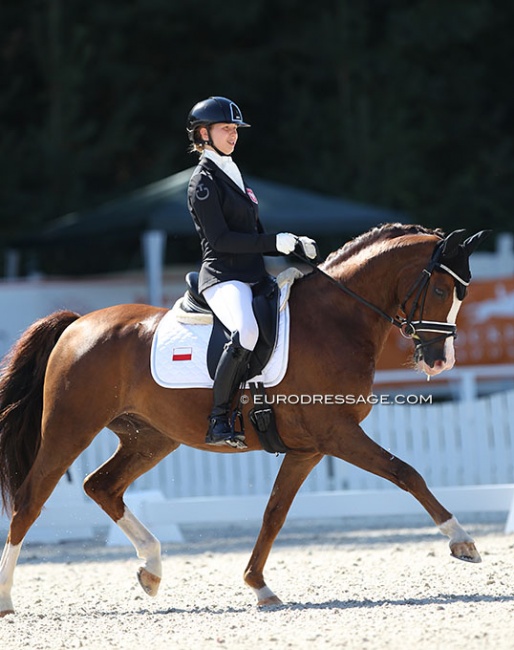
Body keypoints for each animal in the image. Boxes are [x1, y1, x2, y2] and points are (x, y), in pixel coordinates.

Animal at [0, 223, 489, 616]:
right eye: (441, 291)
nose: (440, 361)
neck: (334, 320)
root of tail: (77, 323)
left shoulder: (309, 449)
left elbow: (274, 513)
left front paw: (259, 586)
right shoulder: (337, 434)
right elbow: (405, 472)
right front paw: (461, 540)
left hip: (150, 438)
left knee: (101, 486)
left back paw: (152, 569)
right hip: (70, 428)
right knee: (30, 500)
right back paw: (7, 599)